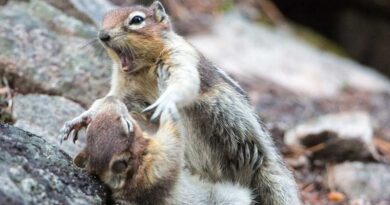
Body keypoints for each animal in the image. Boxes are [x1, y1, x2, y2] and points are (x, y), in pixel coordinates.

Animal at [73, 96, 253, 205]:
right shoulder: (159, 160)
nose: (112, 97)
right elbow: (173, 139)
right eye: (127, 125)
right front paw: (168, 107)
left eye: (91, 127)